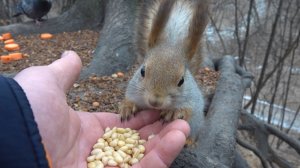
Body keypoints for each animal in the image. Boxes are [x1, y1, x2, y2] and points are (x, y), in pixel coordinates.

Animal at [118, 0, 207, 128]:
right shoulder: (133, 91)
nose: (155, 101)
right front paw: (127, 106)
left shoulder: (194, 100)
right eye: (142, 71)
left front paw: (173, 112)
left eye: (182, 81)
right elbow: (129, 99)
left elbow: (190, 110)